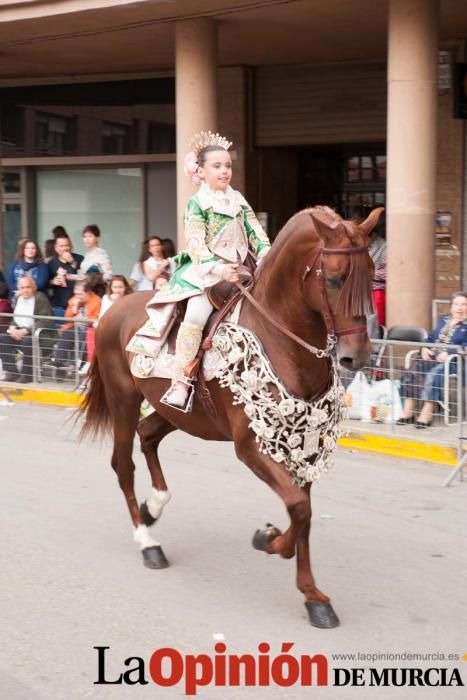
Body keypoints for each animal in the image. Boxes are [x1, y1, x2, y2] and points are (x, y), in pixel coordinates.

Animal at [80, 205, 382, 628]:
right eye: (336, 279)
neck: (283, 341)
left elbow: (302, 513)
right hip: (123, 399)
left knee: (148, 435)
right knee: (123, 463)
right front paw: (272, 542)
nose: (358, 355)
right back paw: (147, 541)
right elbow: (299, 508)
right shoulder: (251, 446)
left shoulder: (303, 444)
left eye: (371, 275)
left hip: (175, 412)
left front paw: (310, 592)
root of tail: (113, 311)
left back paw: (153, 506)